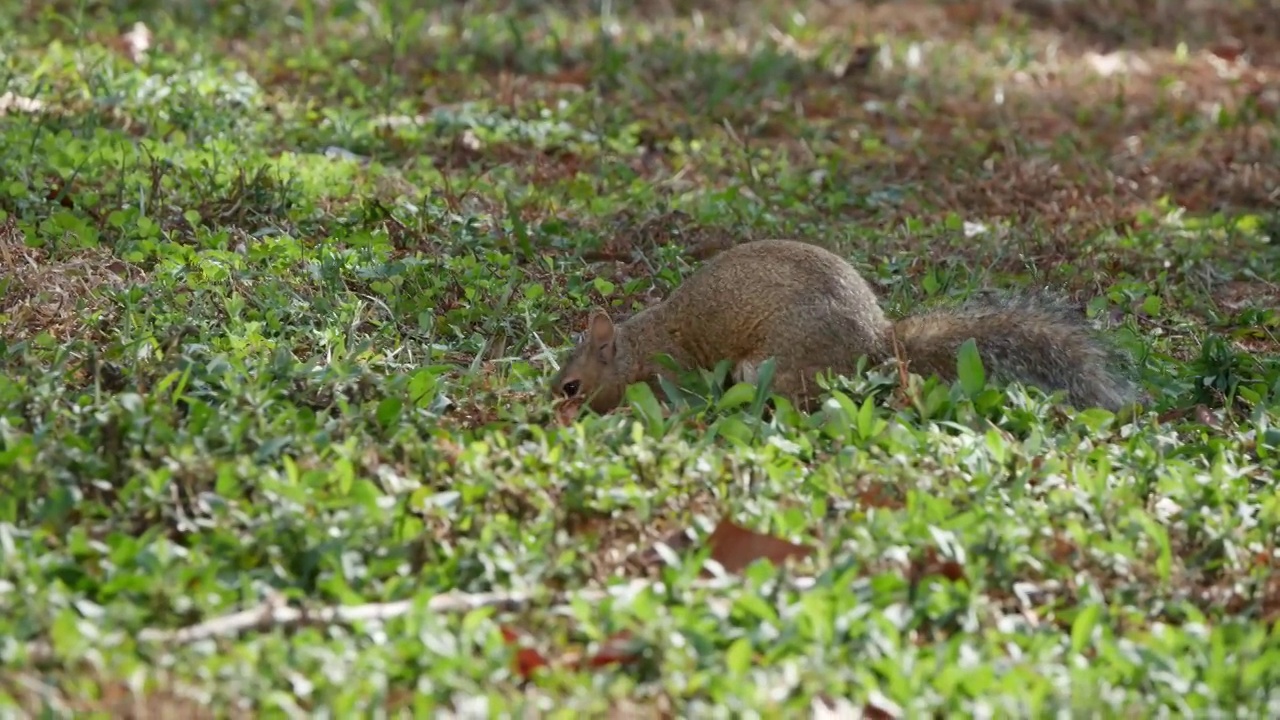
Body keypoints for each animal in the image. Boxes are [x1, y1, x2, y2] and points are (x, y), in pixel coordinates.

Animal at [550, 238, 1141, 412]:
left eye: (571, 387)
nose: (551, 417)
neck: (633, 350)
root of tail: (878, 343)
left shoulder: (668, 375)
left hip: (770, 367)